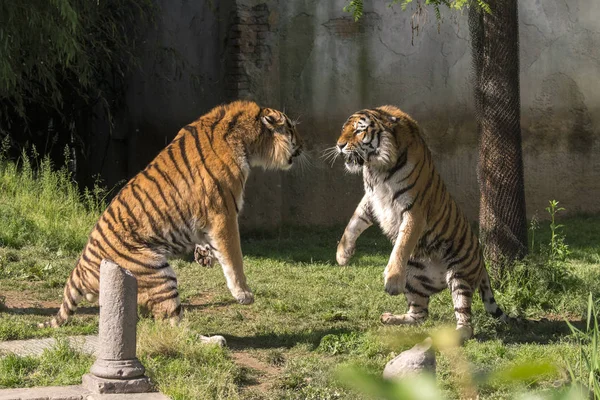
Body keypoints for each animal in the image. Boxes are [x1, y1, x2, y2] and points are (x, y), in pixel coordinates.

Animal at [41, 100, 302, 328]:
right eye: (291, 128)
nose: (302, 145)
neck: (245, 137)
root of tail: (78, 270)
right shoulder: (224, 214)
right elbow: (233, 256)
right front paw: (244, 294)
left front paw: (204, 254)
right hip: (157, 274)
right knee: (173, 328)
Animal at [336, 104, 508, 340]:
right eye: (344, 129)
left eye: (358, 131)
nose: (339, 145)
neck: (378, 168)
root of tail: (482, 263)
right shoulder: (371, 199)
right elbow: (354, 223)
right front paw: (343, 255)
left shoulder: (414, 210)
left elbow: (402, 245)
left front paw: (392, 281)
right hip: (414, 279)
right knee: (420, 315)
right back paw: (390, 318)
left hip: (460, 273)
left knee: (463, 314)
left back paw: (460, 333)